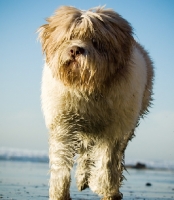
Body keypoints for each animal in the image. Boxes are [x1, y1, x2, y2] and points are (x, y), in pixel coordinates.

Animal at [38, 5, 154, 200]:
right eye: (69, 36)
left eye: (94, 40)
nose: (75, 50)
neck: (87, 88)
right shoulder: (63, 124)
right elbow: (61, 161)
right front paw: (59, 193)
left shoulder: (115, 129)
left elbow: (107, 159)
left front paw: (104, 187)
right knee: (86, 151)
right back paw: (82, 179)